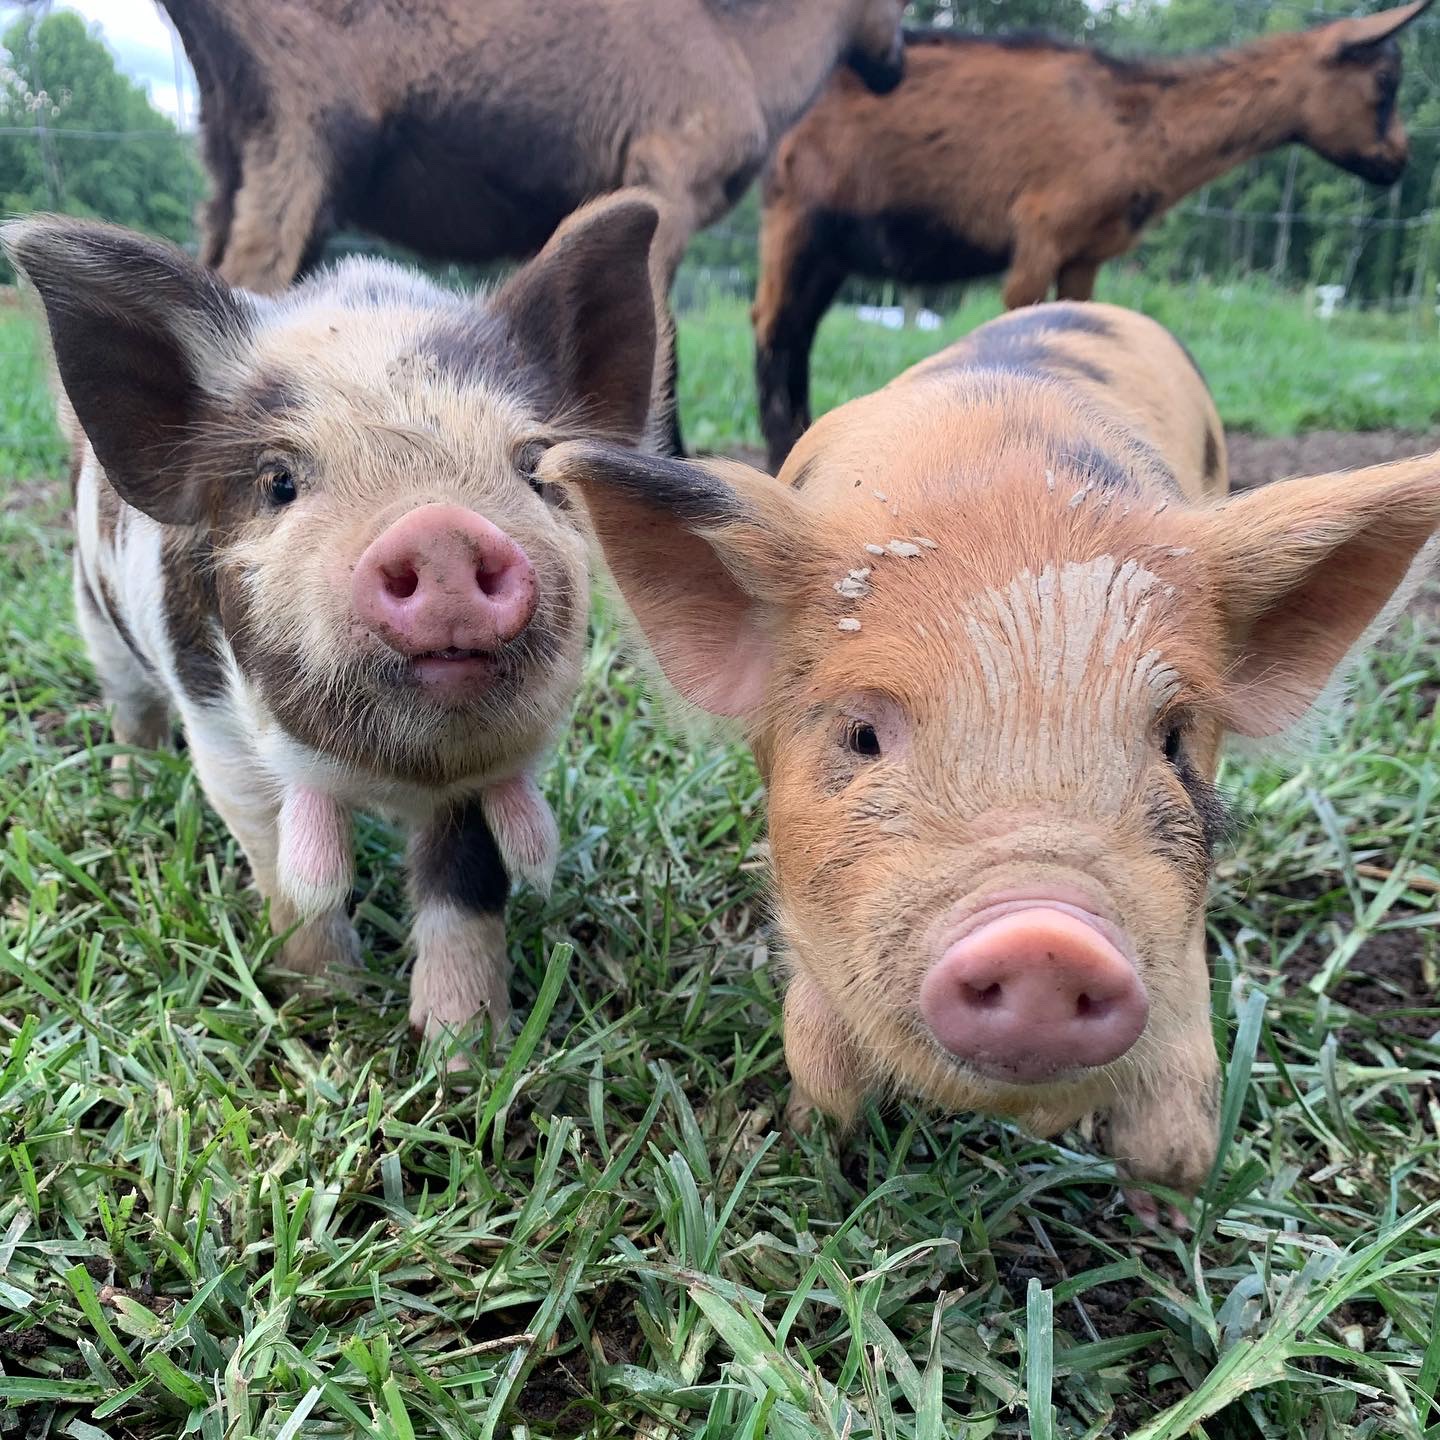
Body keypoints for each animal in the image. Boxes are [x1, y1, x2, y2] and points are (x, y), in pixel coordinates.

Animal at [157, 0, 898, 449]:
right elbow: (665, 344)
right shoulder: (666, 181)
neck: (741, 50)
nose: (896, 68)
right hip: (302, 120)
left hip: (233, 141)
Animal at [754, 1, 1428, 466]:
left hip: (830, 246)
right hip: (796, 217)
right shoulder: (1040, 233)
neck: (1133, 122)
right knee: (772, 324)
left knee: (796, 330)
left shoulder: (1084, 254)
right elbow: (1018, 322)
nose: (1399, 162)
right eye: (1384, 83)